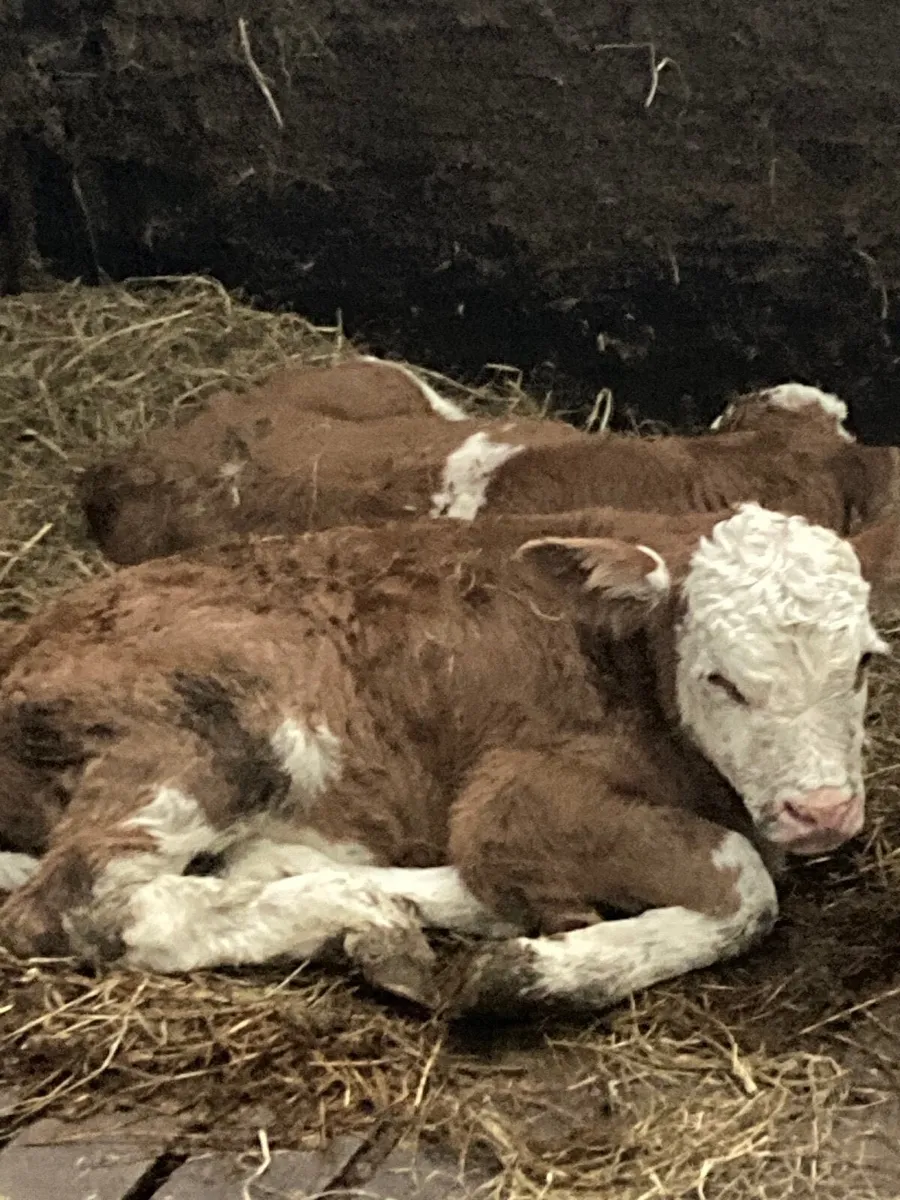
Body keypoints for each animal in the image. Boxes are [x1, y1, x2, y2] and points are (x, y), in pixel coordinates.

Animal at [0, 501, 895, 1015]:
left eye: (863, 662)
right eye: (721, 679)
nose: (823, 810)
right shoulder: (516, 793)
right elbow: (747, 883)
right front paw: (536, 972)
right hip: (212, 724)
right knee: (86, 904)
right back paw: (367, 916)